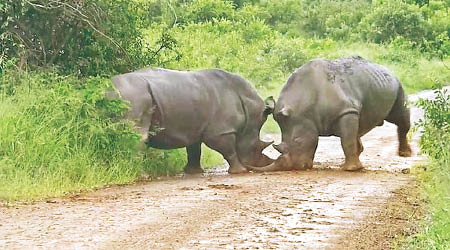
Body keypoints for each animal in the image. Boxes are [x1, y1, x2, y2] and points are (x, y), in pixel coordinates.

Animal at [111, 68, 274, 174]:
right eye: (255, 148)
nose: (267, 163)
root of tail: (108, 89)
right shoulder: (221, 131)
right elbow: (229, 149)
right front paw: (240, 171)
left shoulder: (195, 127)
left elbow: (194, 149)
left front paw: (193, 172)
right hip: (134, 98)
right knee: (139, 136)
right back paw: (141, 175)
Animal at [253, 56, 412, 172]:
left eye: (297, 141)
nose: (295, 167)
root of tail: (387, 69)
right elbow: (348, 138)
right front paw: (352, 166)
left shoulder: (346, 111)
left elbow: (346, 141)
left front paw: (351, 169)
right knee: (358, 129)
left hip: (397, 84)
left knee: (399, 116)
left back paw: (405, 154)